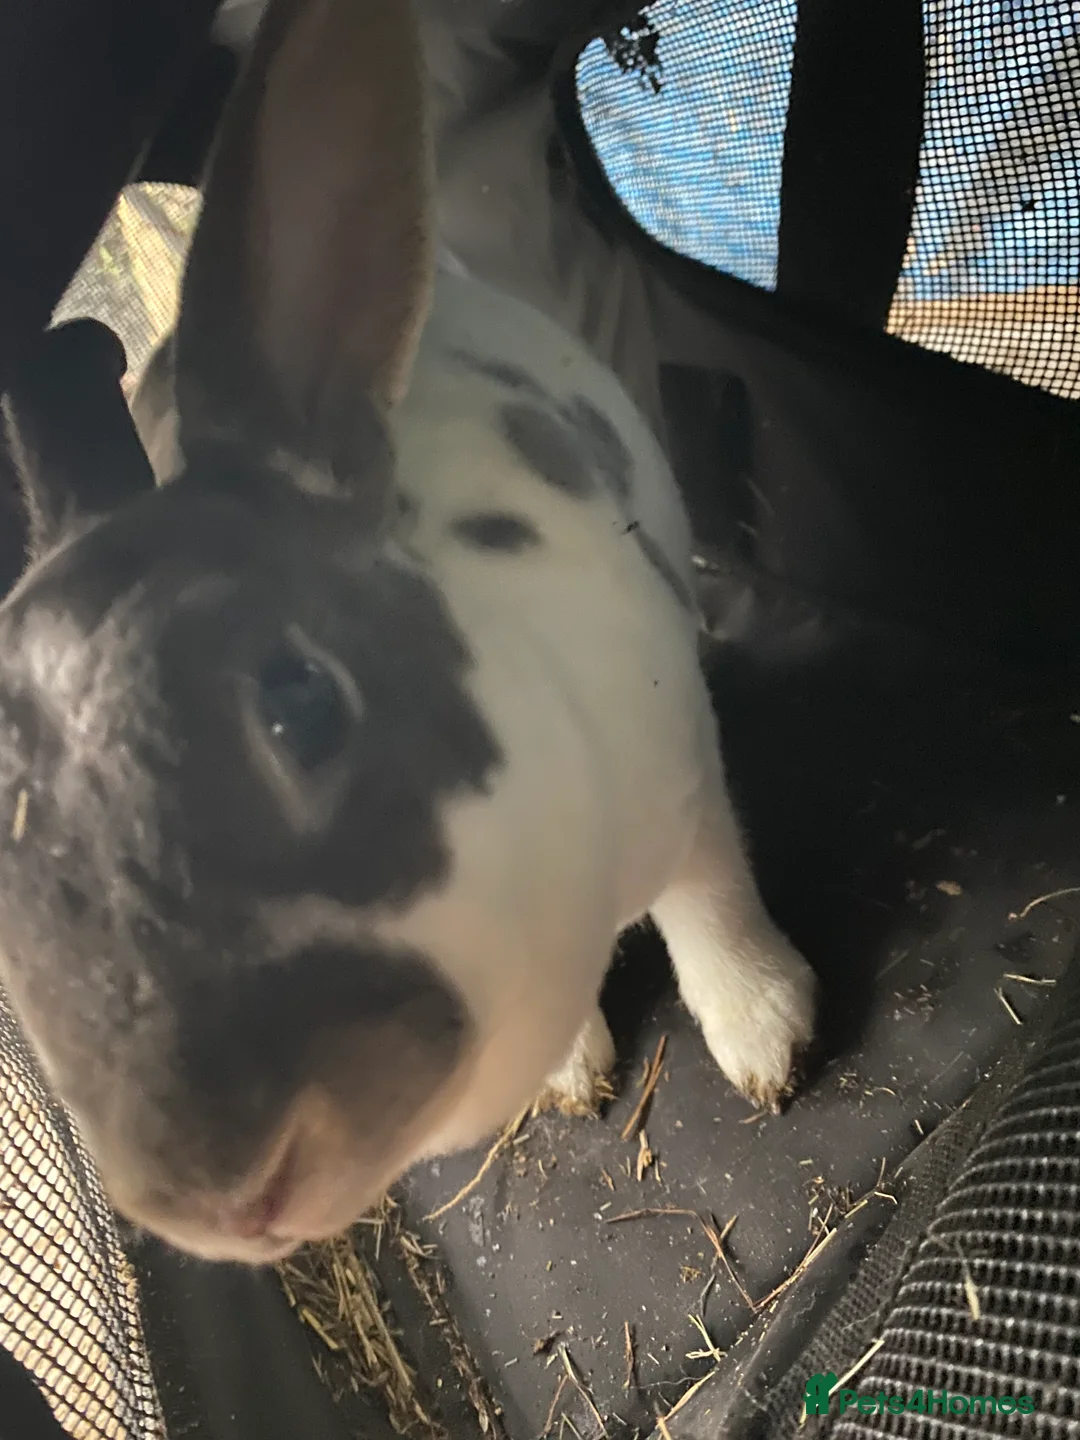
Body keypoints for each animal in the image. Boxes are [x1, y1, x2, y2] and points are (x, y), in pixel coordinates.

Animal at [0, 0, 816, 1264]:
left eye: (302, 701)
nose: (220, 1194)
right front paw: (572, 1075)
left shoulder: (682, 771)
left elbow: (710, 901)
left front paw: (769, 1040)